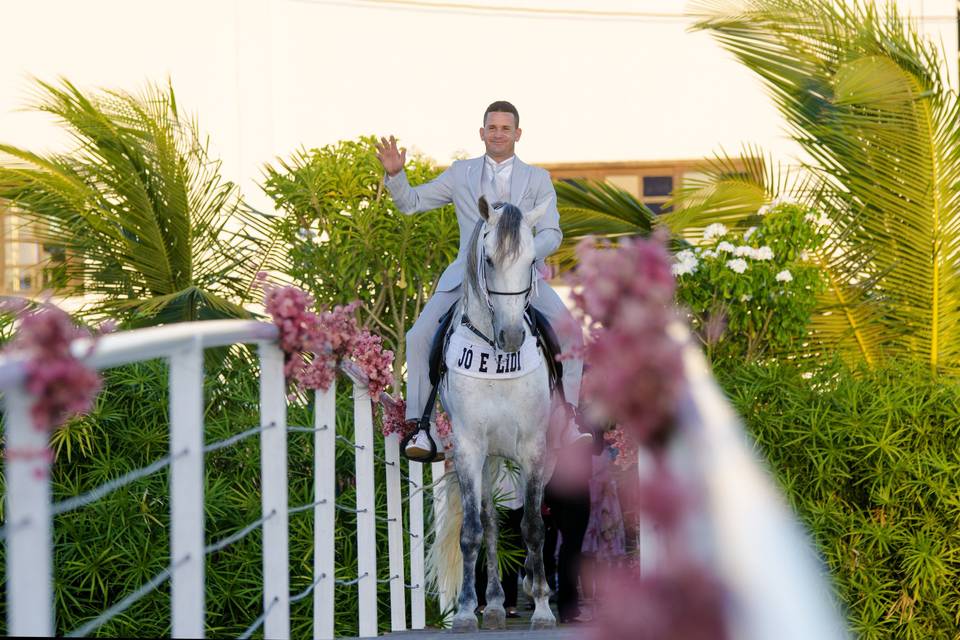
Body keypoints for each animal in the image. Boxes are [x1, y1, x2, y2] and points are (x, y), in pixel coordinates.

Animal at [428, 196, 556, 636]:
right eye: (488, 259)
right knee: (491, 522)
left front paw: (544, 609)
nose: (513, 336)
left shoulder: (534, 447)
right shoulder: (469, 449)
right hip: (488, 460)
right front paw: (467, 612)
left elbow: (533, 526)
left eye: (532, 260)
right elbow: (472, 532)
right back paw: (497, 605)